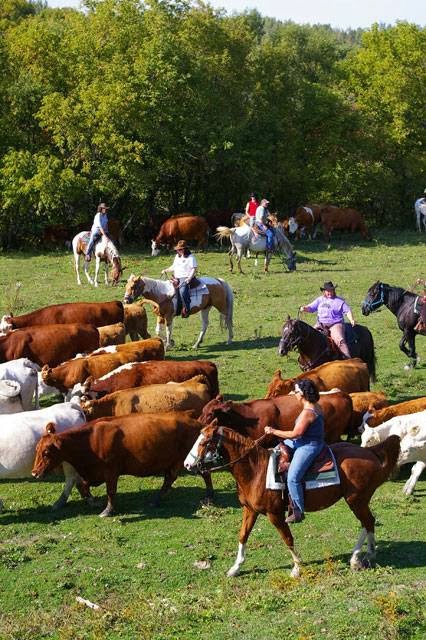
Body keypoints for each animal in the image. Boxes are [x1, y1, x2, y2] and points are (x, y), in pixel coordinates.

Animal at [32, 410, 213, 520]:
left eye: (46, 452)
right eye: (37, 449)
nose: (34, 473)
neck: (90, 440)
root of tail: (196, 423)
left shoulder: (111, 471)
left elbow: (110, 491)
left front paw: (107, 510)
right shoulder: (93, 474)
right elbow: (81, 485)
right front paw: (91, 501)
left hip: (192, 460)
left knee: (203, 474)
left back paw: (209, 496)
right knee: (170, 479)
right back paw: (156, 500)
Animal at [185, 422, 402, 576]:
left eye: (203, 443)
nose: (187, 464)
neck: (256, 471)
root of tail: (369, 452)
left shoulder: (275, 514)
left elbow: (287, 538)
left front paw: (297, 568)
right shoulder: (250, 510)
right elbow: (243, 535)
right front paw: (235, 568)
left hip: (356, 501)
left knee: (368, 522)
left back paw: (362, 557)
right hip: (358, 501)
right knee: (368, 523)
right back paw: (362, 556)